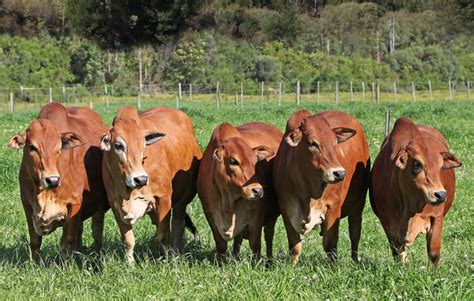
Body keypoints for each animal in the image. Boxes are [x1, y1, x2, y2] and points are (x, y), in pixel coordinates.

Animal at [7, 102, 108, 258]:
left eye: (59, 147)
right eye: (32, 147)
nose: (53, 180)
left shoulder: (74, 203)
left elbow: (68, 241)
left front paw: (67, 263)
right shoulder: (27, 204)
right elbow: (35, 240)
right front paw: (35, 262)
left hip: (99, 206)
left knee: (96, 232)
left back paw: (96, 255)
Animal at [101, 105, 201, 262]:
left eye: (144, 146)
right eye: (118, 145)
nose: (141, 179)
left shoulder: (163, 199)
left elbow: (164, 235)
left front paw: (169, 260)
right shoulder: (115, 204)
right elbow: (128, 239)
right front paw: (129, 263)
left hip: (182, 199)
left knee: (178, 225)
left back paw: (177, 251)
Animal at [196, 122, 282, 260]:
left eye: (255, 162)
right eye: (233, 161)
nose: (258, 191)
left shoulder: (256, 215)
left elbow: (255, 244)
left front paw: (256, 263)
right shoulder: (210, 215)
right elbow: (221, 246)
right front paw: (222, 263)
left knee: (269, 236)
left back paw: (269, 260)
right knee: (238, 240)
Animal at [274, 109, 370, 264]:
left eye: (335, 142)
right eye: (313, 143)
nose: (340, 173)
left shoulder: (333, 207)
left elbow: (330, 244)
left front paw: (334, 266)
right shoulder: (286, 209)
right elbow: (295, 246)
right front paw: (292, 266)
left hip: (358, 203)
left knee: (355, 233)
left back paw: (355, 259)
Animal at [368, 116, 462, 264]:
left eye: (440, 166)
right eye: (417, 164)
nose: (441, 194)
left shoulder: (437, 216)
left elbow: (434, 253)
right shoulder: (386, 221)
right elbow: (397, 252)